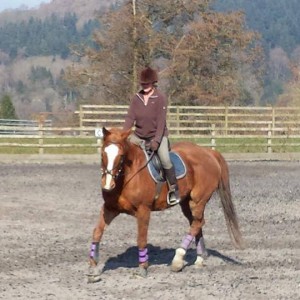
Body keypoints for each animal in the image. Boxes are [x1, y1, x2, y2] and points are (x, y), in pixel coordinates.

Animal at [87, 127, 244, 282]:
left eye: (121, 156)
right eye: (103, 154)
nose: (107, 185)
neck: (126, 177)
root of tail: (209, 152)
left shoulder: (143, 210)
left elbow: (141, 239)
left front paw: (142, 269)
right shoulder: (109, 208)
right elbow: (97, 233)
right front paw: (93, 270)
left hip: (198, 200)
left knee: (198, 222)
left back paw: (178, 259)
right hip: (186, 203)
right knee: (196, 222)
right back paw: (199, 259)